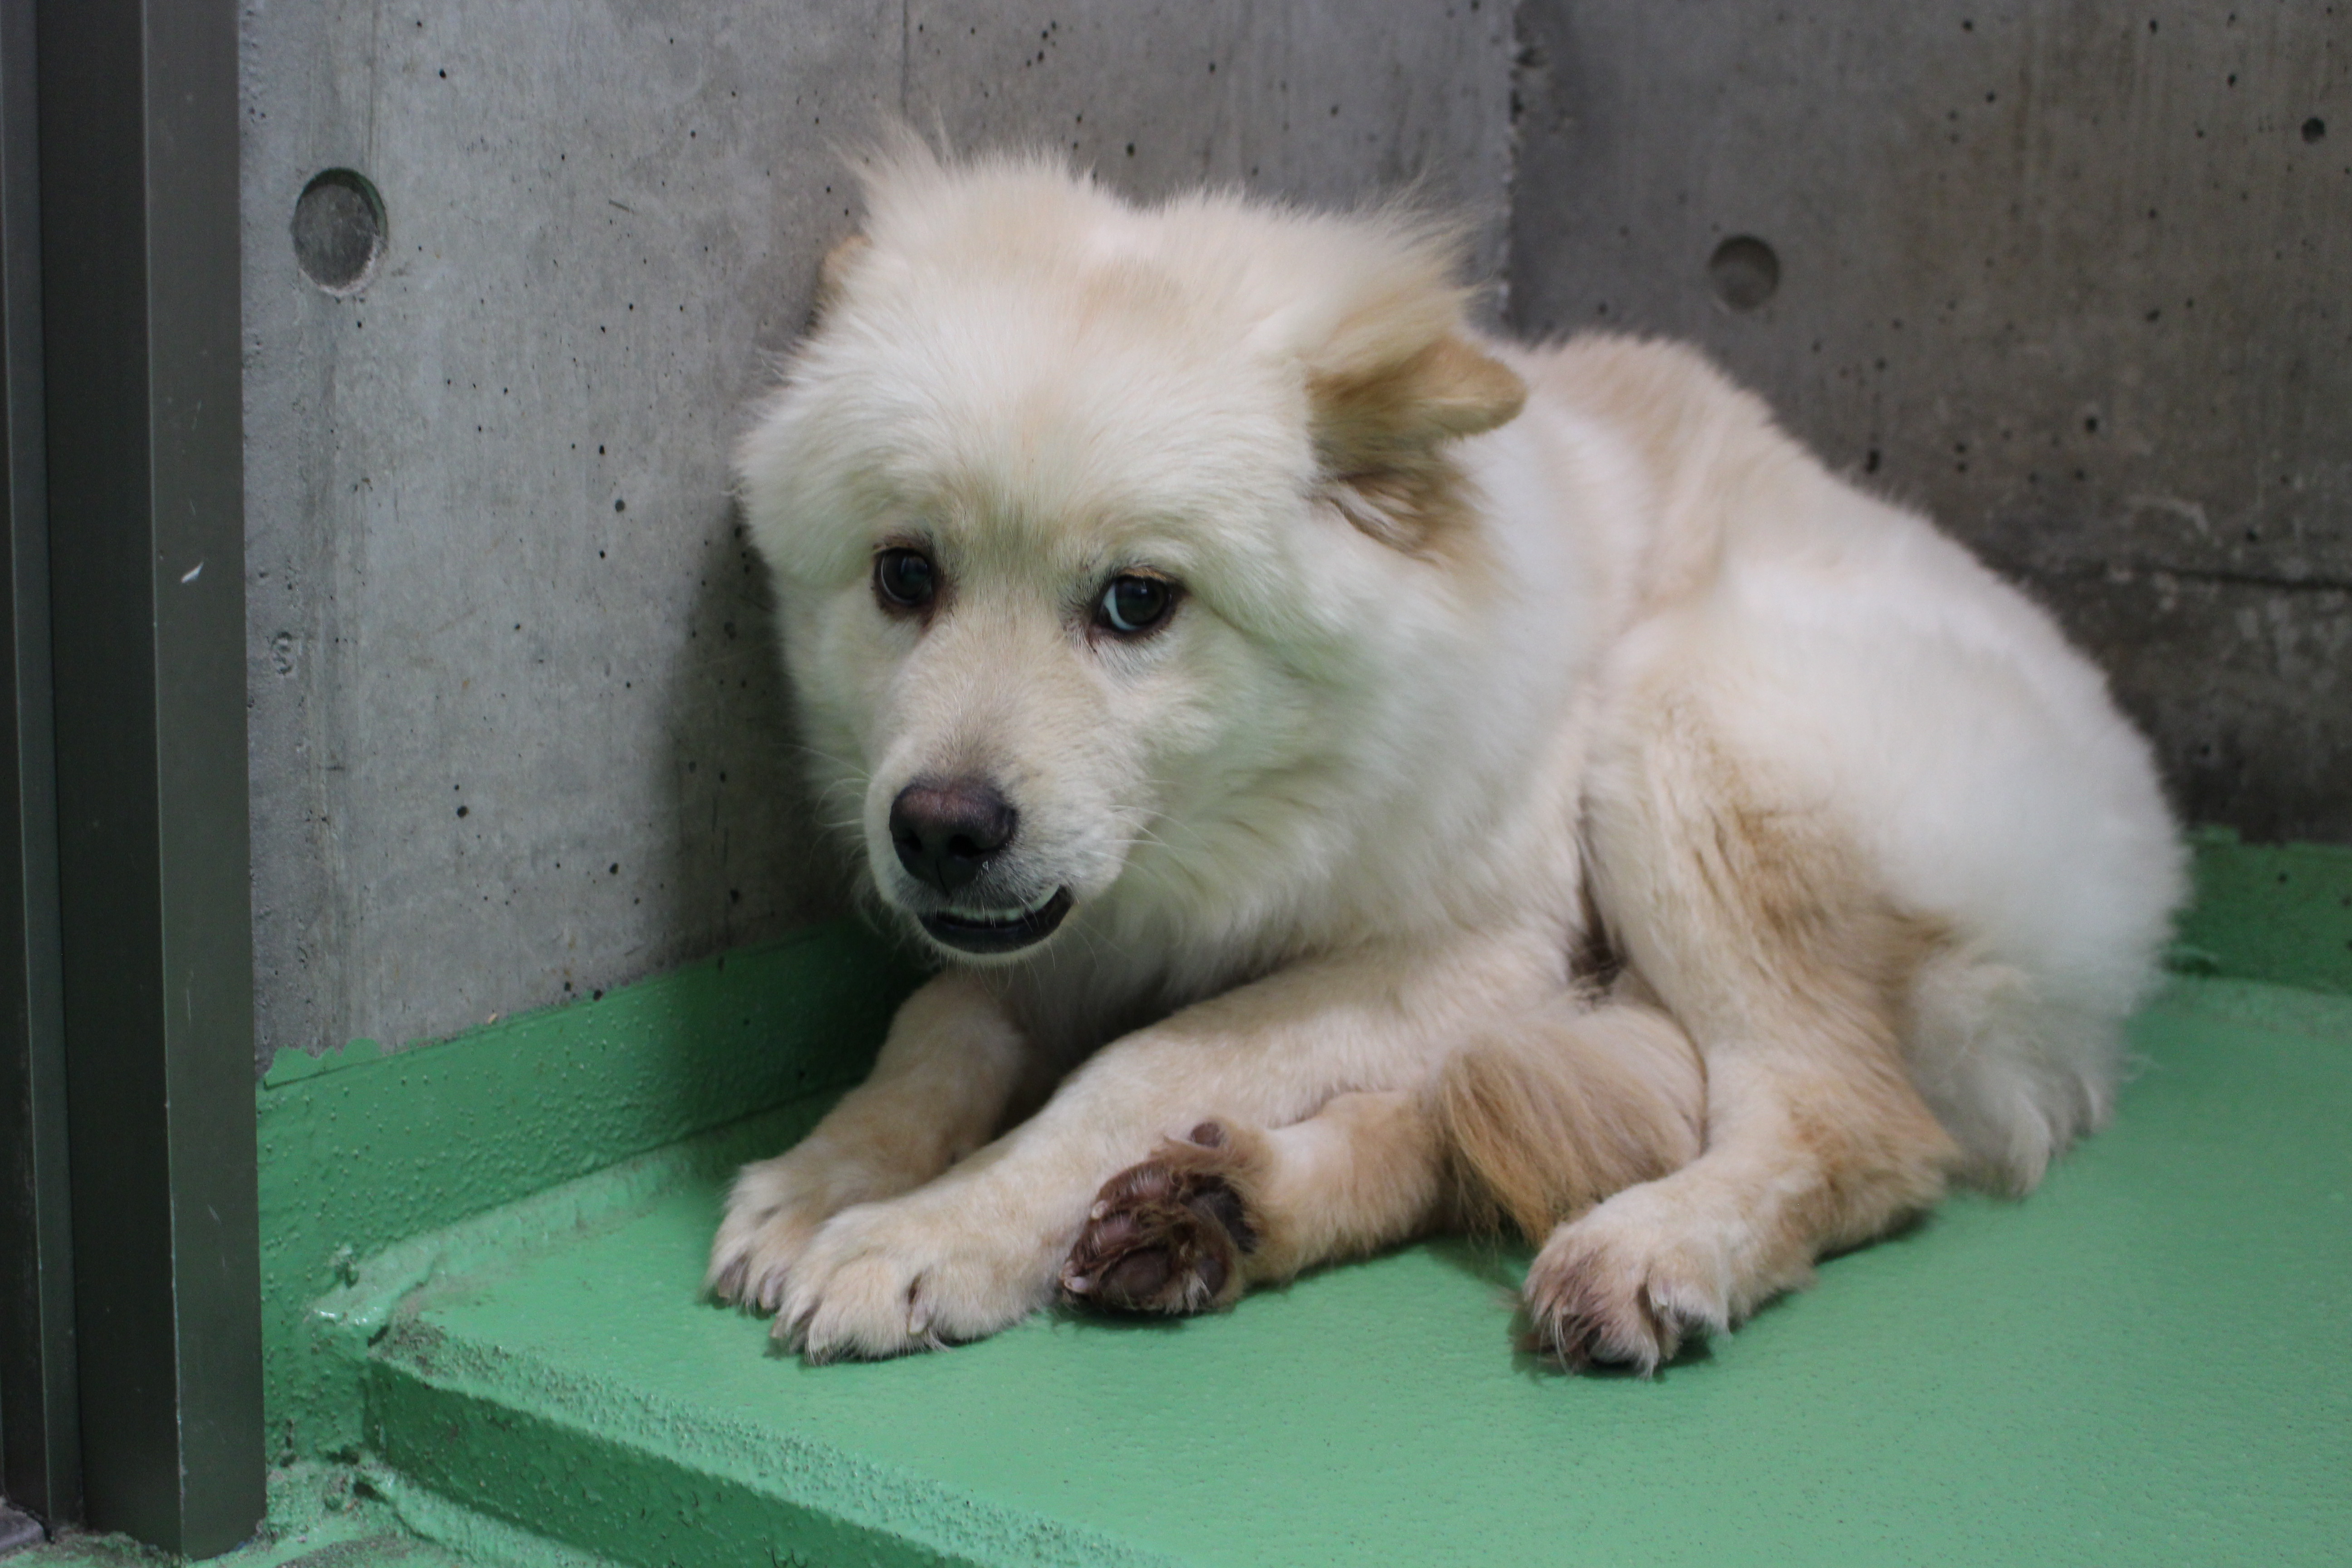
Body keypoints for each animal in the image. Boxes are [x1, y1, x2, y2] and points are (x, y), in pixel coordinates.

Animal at [715, 150, 2182, 1372]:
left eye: (1136, 603)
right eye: (907, 575)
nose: (940, 827)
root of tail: (2140, 866)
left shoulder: (1472, 950)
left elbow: (1137, 1070)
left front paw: (933, 1231)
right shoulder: (1053, 943)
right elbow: (938, 1025)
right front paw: (831, 1177)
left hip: (1669, 724)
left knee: (1846, 1121)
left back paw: (1648, 1245)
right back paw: (1222, 1211)